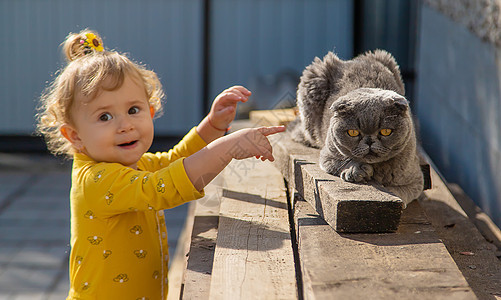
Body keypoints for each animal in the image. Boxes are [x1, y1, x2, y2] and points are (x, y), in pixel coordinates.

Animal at [290, 51, 422, 206]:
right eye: (353, 133)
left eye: (386, 132)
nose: (369, 142)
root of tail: (351, 60)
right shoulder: (328, 155)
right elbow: (342, 161)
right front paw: (355, 171)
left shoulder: (416, 181)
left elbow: (400, 194)